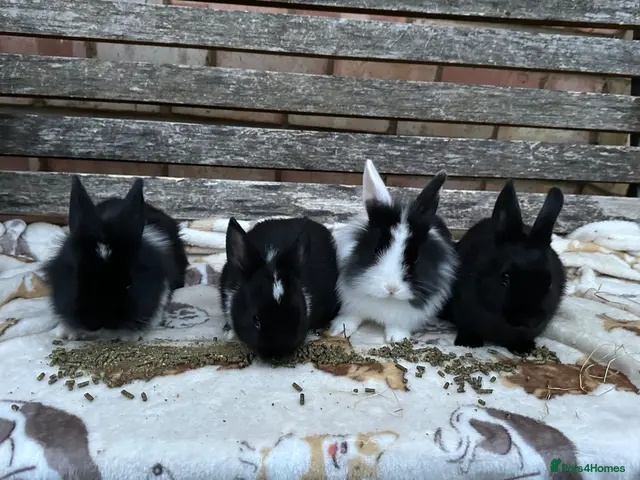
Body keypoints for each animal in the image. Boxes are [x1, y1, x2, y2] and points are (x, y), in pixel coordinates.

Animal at [329, 159, 458, 343]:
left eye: (416, 257)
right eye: (375, 249)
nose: (391, 288)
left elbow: (397, 325)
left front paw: (396, 339)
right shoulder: (351, 304)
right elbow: (351, 317)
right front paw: (339, 330)